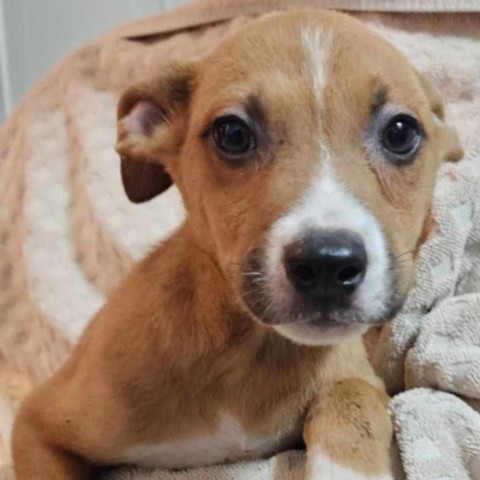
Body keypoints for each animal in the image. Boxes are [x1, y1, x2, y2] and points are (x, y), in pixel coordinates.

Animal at [12, 8, 462, 480]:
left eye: (400, 132)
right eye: (232, 133)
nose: (326, 265)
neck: (247, 350)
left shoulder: (356, 376)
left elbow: (350, 400)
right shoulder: (36, 423)